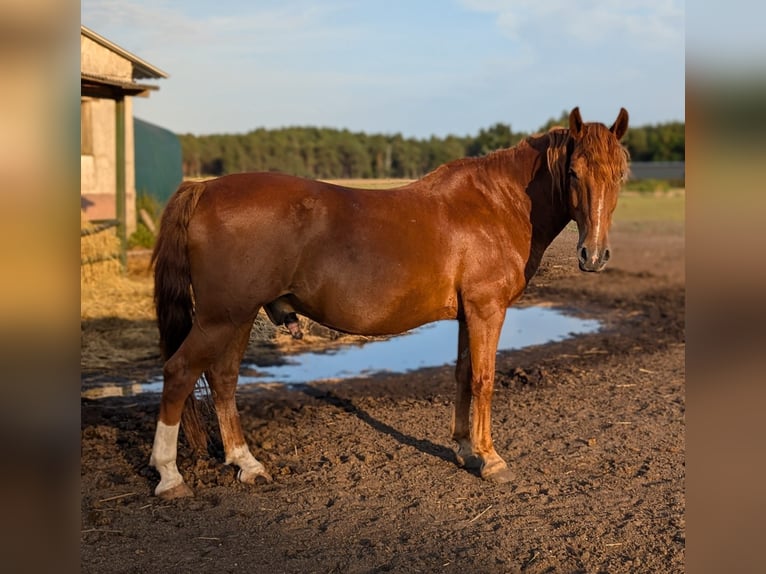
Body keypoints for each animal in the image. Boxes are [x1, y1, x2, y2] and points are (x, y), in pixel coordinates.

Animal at [148, 107, 632, 500]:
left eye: (620, 175)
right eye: (574, 172)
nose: (594, 255)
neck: (497, 204)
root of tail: (204, 189)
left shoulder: (467, 314)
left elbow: (462, 375)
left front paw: (464, 448)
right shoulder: (486, 310)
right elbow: (484, 380)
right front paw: (491, 459)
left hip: (239, 317)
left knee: (223, 379)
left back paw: (246, 464)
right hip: (222, 317)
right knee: (179, 373)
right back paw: (170, 476)